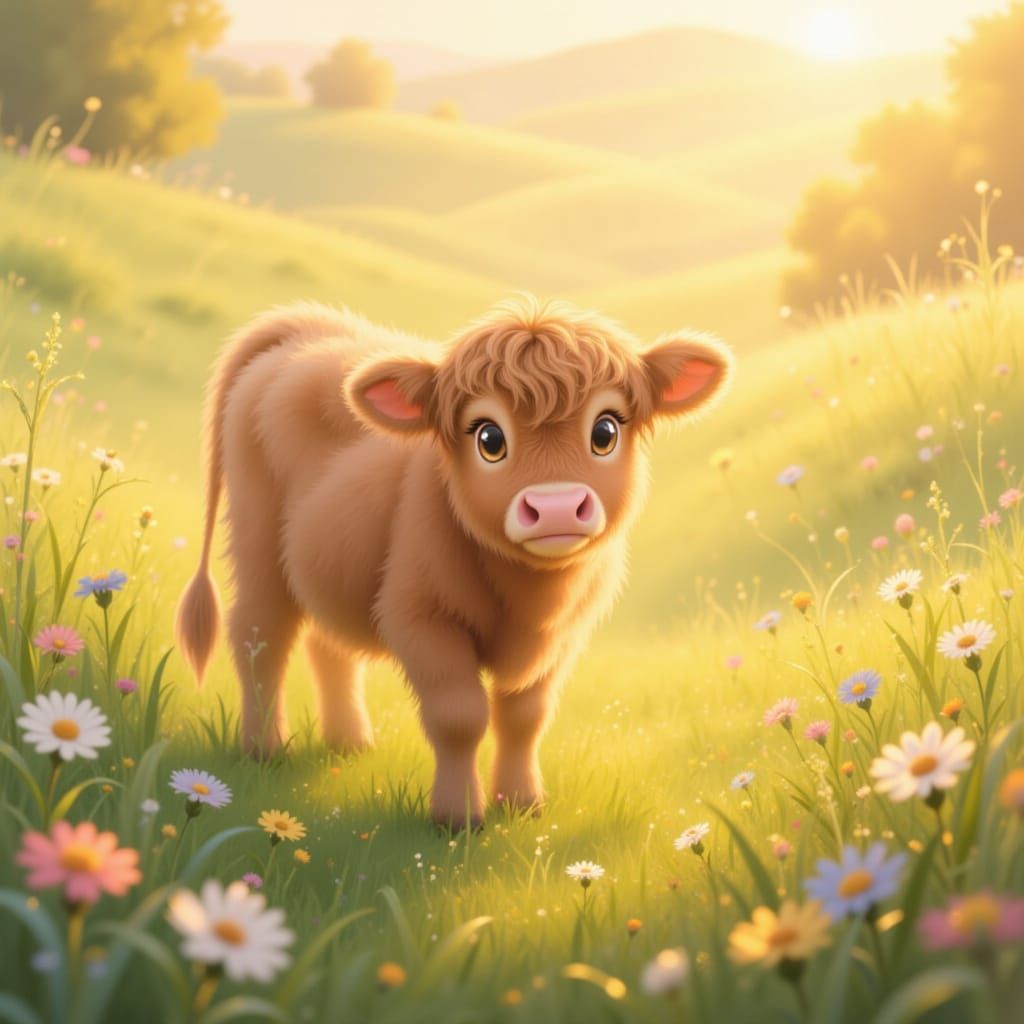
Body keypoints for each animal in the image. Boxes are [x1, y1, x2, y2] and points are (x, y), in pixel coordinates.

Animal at [176, 295, 732, 827]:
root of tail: (310, 326)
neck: (529, 597)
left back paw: (349, 741)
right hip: (256, 545)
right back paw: (265, 750)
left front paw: (522, 802)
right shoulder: (420, 619)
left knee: (328, 643)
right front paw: (457, 817)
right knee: (260, 637)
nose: (554, 507)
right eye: (488, 438)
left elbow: (525, 716)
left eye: (606, 431)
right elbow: (459, 717)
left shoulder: (563, 636)